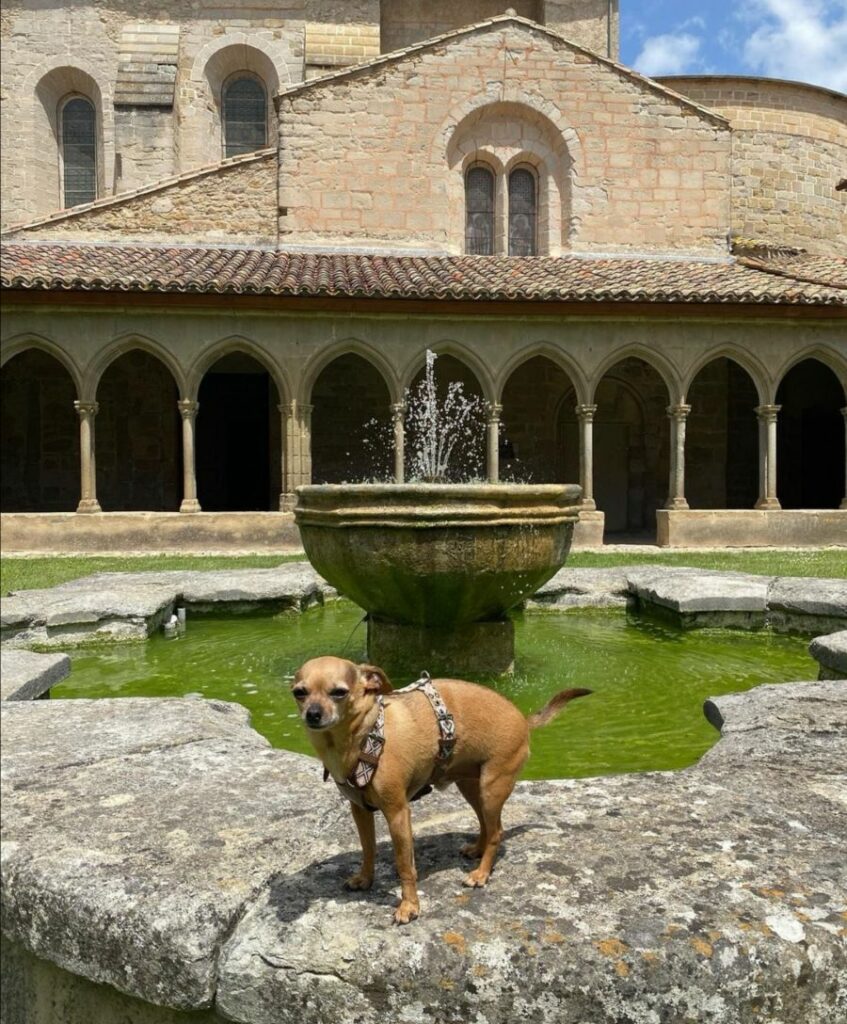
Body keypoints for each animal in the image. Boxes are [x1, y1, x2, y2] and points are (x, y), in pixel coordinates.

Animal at [290, 655, 589, 929]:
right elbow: (368, 848)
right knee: (486, 824)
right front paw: (365, 878)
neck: (361, 738)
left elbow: (404, 865)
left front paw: (409, 906)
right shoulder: (360, 810)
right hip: (471, 787)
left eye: (339, 692)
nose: (312, 714)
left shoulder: (398, 814)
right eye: (299, 692)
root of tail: (523, 719)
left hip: (492, 788)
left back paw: (481, 874)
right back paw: (476, 850)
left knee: (497, 832)